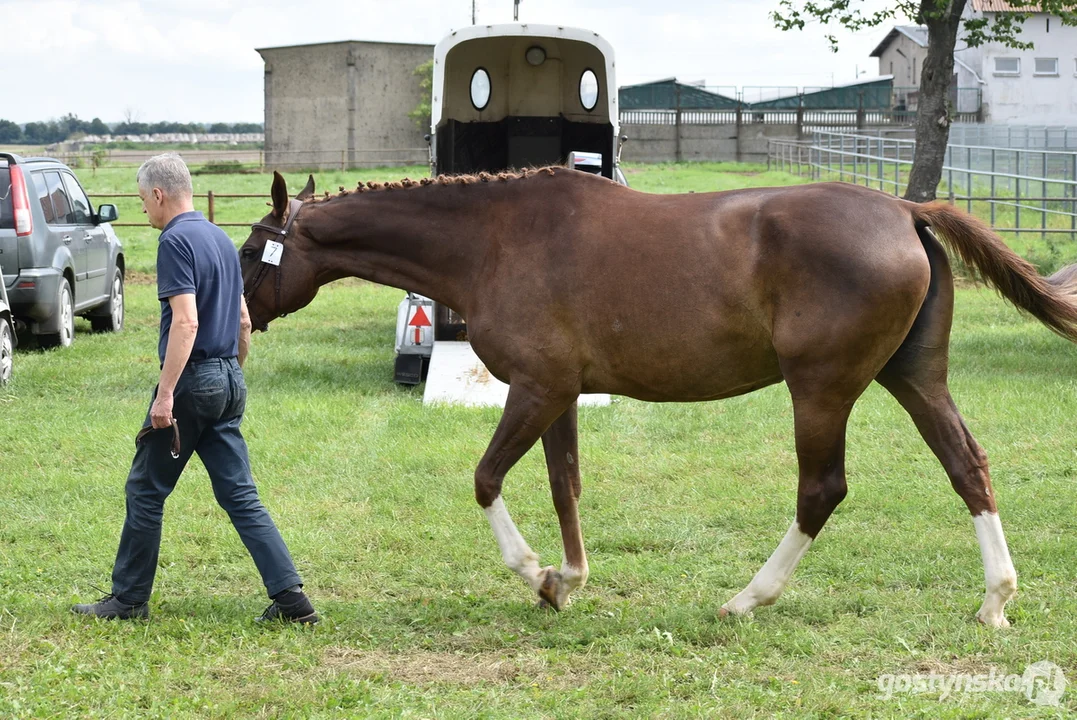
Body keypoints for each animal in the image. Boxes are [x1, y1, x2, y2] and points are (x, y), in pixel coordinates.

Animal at [242, 166, 1077, 624]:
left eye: (252, 250)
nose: (242, 322)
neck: (495, 239)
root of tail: (906, 211)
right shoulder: (559, 394)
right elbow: (564, 484)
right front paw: (567, 581)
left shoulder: (536, 390)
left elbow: (486, 479)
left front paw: (535, 573)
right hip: (912, 378)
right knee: (966, 467)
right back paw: (995, 599)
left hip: (822, 386)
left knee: (821, 489)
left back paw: (746, 600)